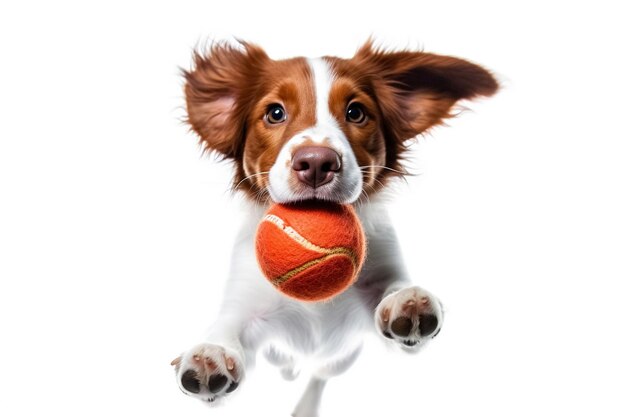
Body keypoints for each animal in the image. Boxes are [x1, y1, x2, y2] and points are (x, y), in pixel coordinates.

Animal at [171, 39, 498, 416]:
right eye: (275, 113)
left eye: (356, 112)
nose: (316, 162)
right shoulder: (247, 306)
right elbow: (227, 328)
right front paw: (212, 354)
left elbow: (395, 293)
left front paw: (407, 300)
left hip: (340, 359)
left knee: (319, 374)